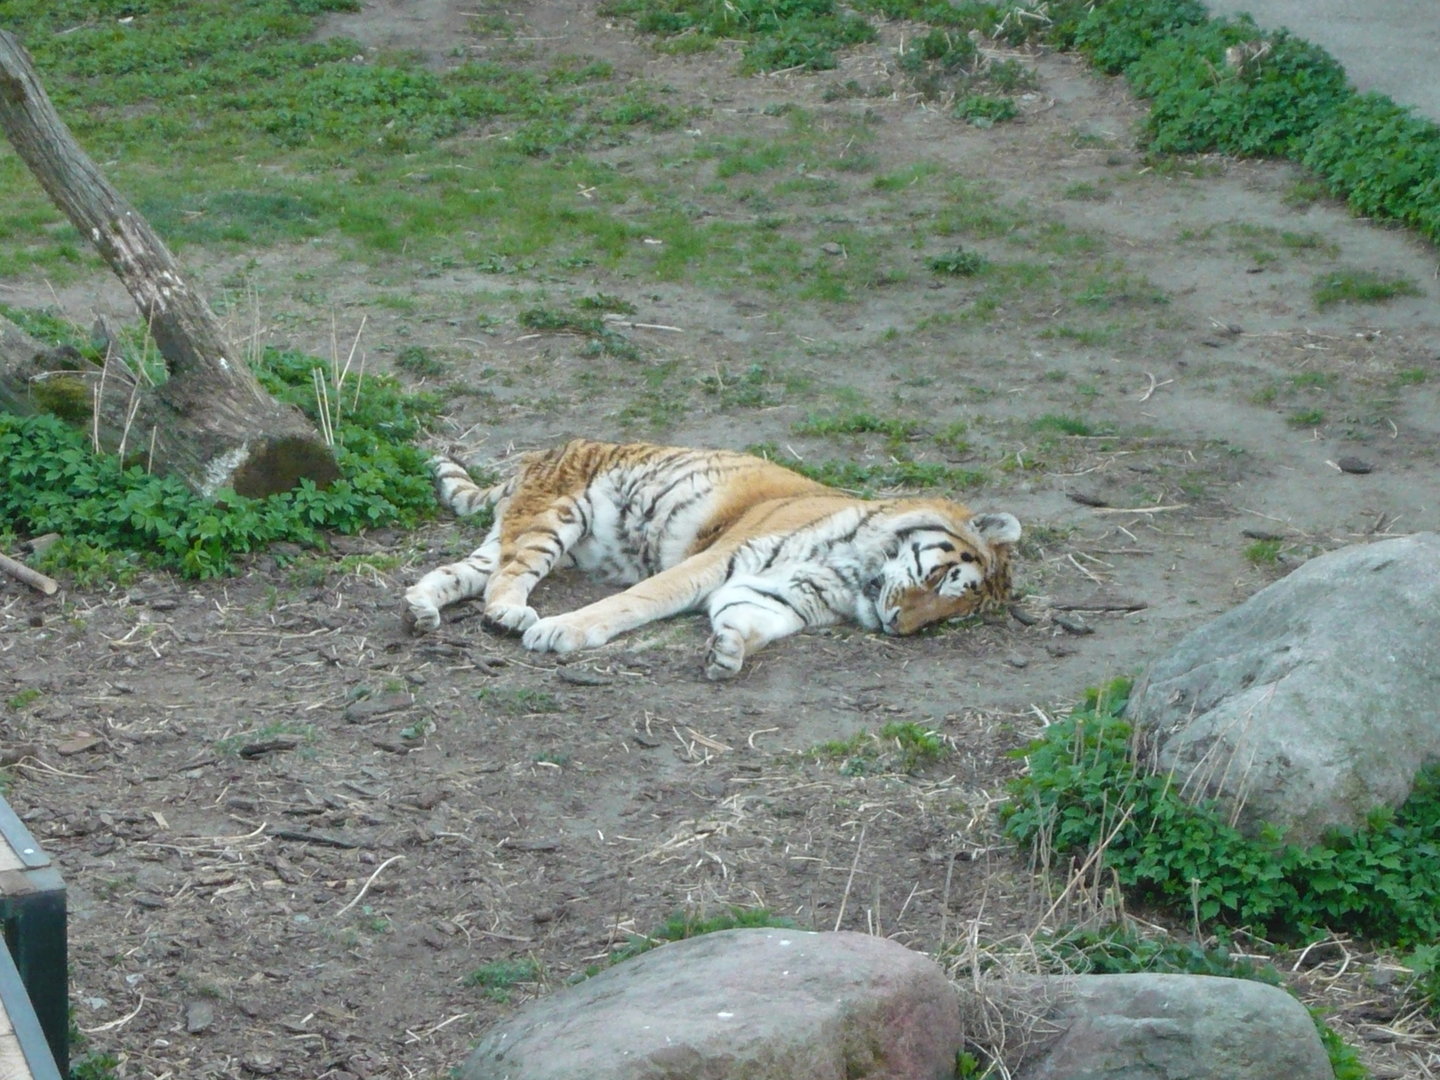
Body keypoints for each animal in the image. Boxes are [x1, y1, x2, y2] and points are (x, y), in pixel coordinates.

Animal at [403, 438, 1021, 680]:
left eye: (944, 620)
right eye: (940, 577)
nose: (897, 625)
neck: (853, 576)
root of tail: (539, 455)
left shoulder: (775, 596)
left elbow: (746, 623)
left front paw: (727, 652)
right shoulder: (716, 560)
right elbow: (635, 601)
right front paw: (562, 632)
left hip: (511, 536)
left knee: (455, 574)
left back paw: (419, 611)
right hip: (551, 521)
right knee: (504, 580)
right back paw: (513, 617)